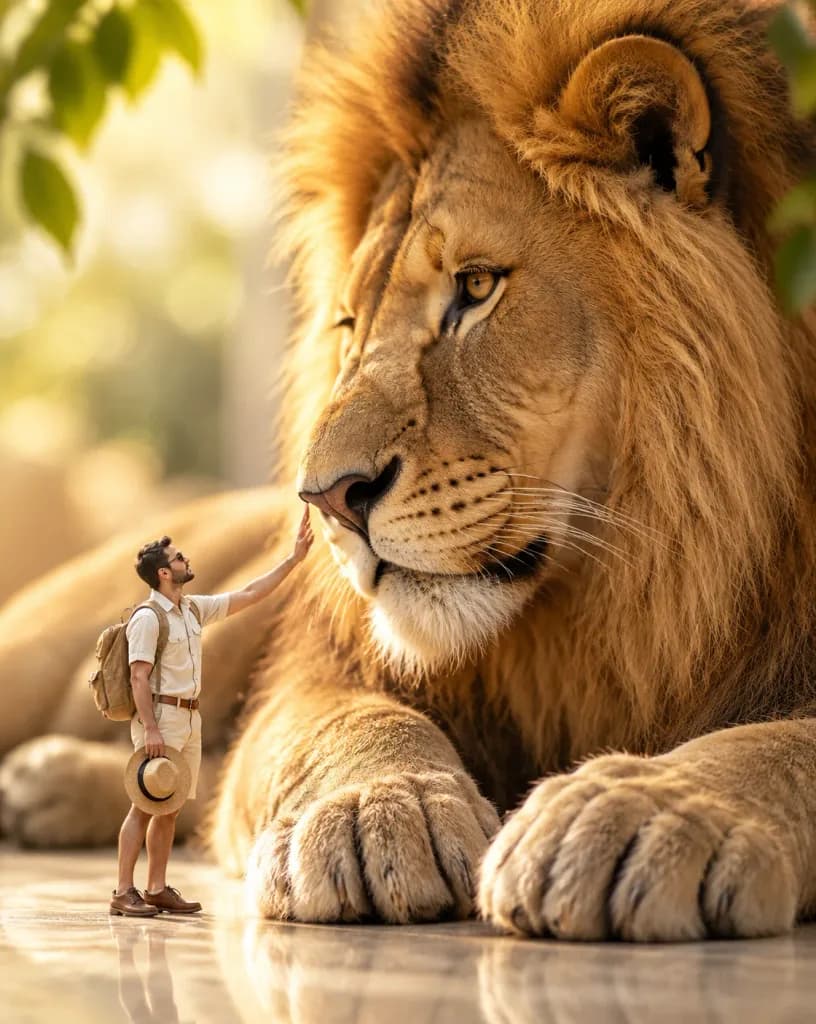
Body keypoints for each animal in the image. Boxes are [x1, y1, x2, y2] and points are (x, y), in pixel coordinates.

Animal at [2, 0, 816, 943]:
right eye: (351, 325)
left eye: (476, 287)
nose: (326, 501)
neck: (621, 604)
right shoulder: (322, 674)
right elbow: (337, 727)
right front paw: (377, 812)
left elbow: (781, 743)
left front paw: (642, 811)